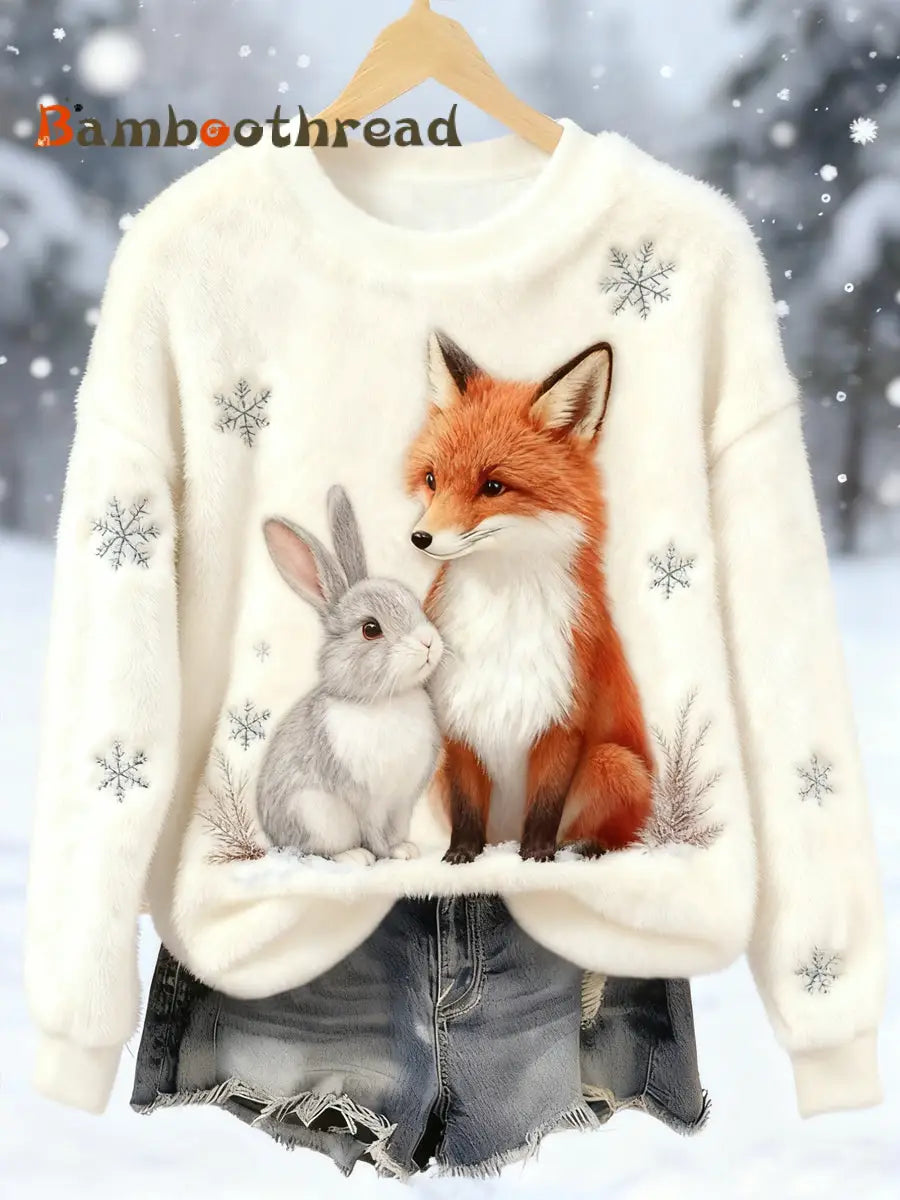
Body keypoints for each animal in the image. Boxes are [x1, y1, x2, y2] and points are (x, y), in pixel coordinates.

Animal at [256, 484, 444, 865]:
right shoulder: (366, 799)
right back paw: (353, 857)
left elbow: (395, 828)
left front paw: (405, 849)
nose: (428, 642)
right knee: (312, 850)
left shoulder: (402, 801)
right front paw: (385, 855)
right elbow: (374, 832)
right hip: (315, 815)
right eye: (371, 629)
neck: (382, 702)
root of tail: (273, 838)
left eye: (413, 603)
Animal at [404, 329, 654, 864]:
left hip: (612, 762)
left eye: (493, 486)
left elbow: (545, 806)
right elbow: (467, 807)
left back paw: (585, 848)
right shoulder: (459, 718)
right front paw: (462, 856)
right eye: (433, 480)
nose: (420, 538)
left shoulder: (563, 717)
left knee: (617, 835)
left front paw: (536, 858)